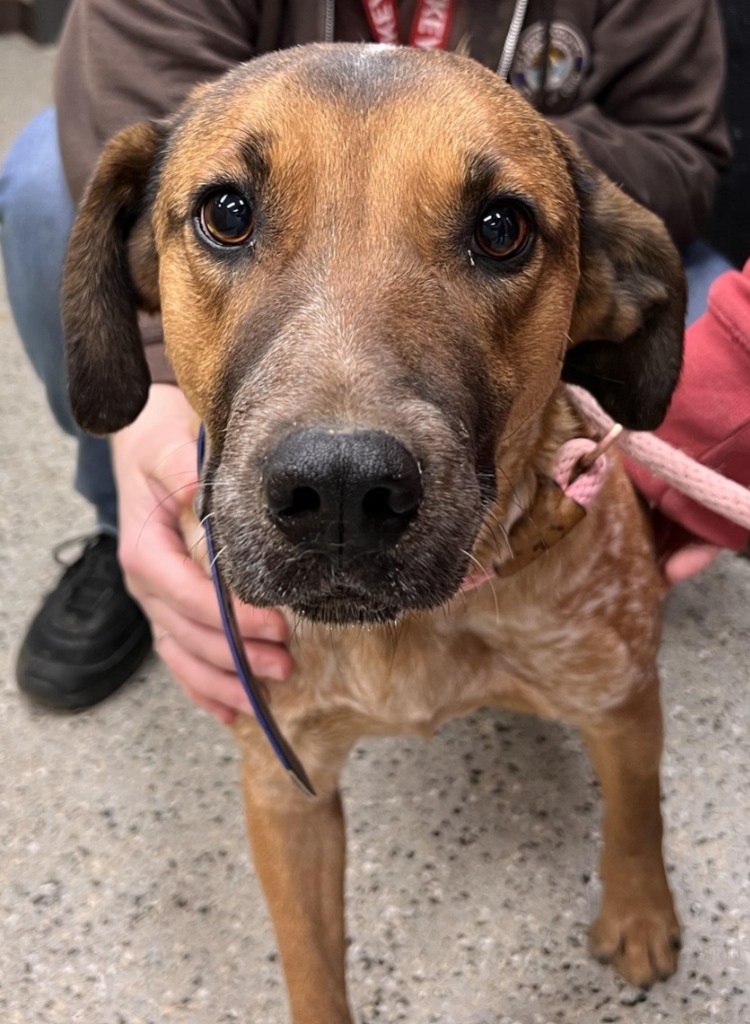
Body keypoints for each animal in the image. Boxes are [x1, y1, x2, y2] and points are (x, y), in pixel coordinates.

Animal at [63, 44, 684, 1019]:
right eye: (226, 213)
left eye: (502, 228)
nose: (343, 490)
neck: (414, 634)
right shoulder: (285, 788)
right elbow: (312, 965)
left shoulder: (619, 696)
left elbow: (636, 813)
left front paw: (639, 911)